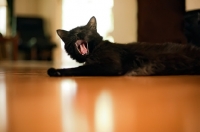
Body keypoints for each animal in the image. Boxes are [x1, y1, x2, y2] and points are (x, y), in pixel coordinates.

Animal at [47, 16, 200, 76]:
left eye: (84, 31)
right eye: (73, 34)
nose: (78, 34)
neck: (95, 50)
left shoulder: (111, 64)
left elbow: (80, 69)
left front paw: (56, 71)